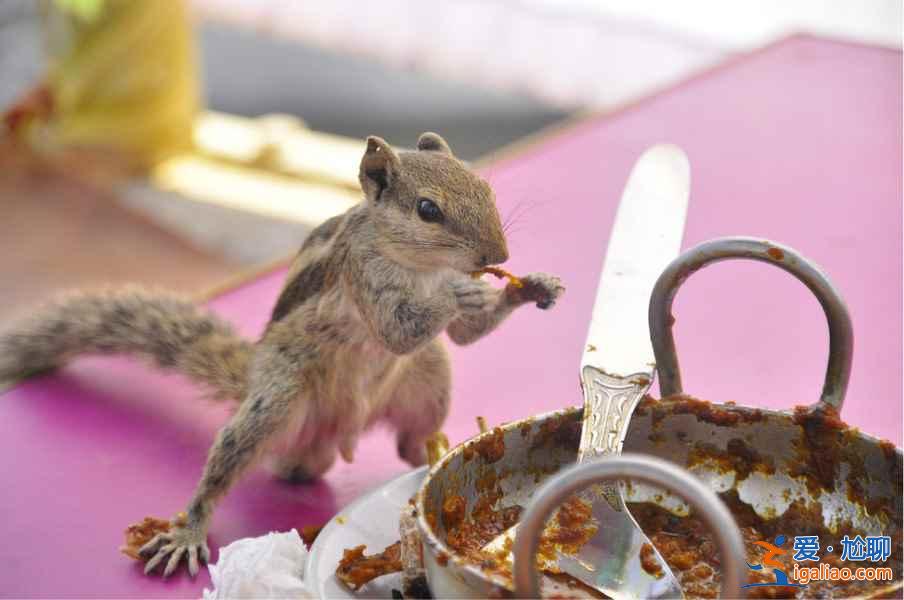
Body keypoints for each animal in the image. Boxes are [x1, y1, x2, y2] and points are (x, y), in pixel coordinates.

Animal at [0, 132, 560, 576]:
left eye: (484, 188)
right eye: (428, 210)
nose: (498, 257)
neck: (418, 265)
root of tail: (337, 436)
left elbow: (463, 336)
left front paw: (532, 286)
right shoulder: (363, 277)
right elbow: (399, 330)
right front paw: (461, 294)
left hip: (427, 378)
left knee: (409, 441)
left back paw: (439, 450)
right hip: (279, 399)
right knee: (229, 463)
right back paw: (190, 529)